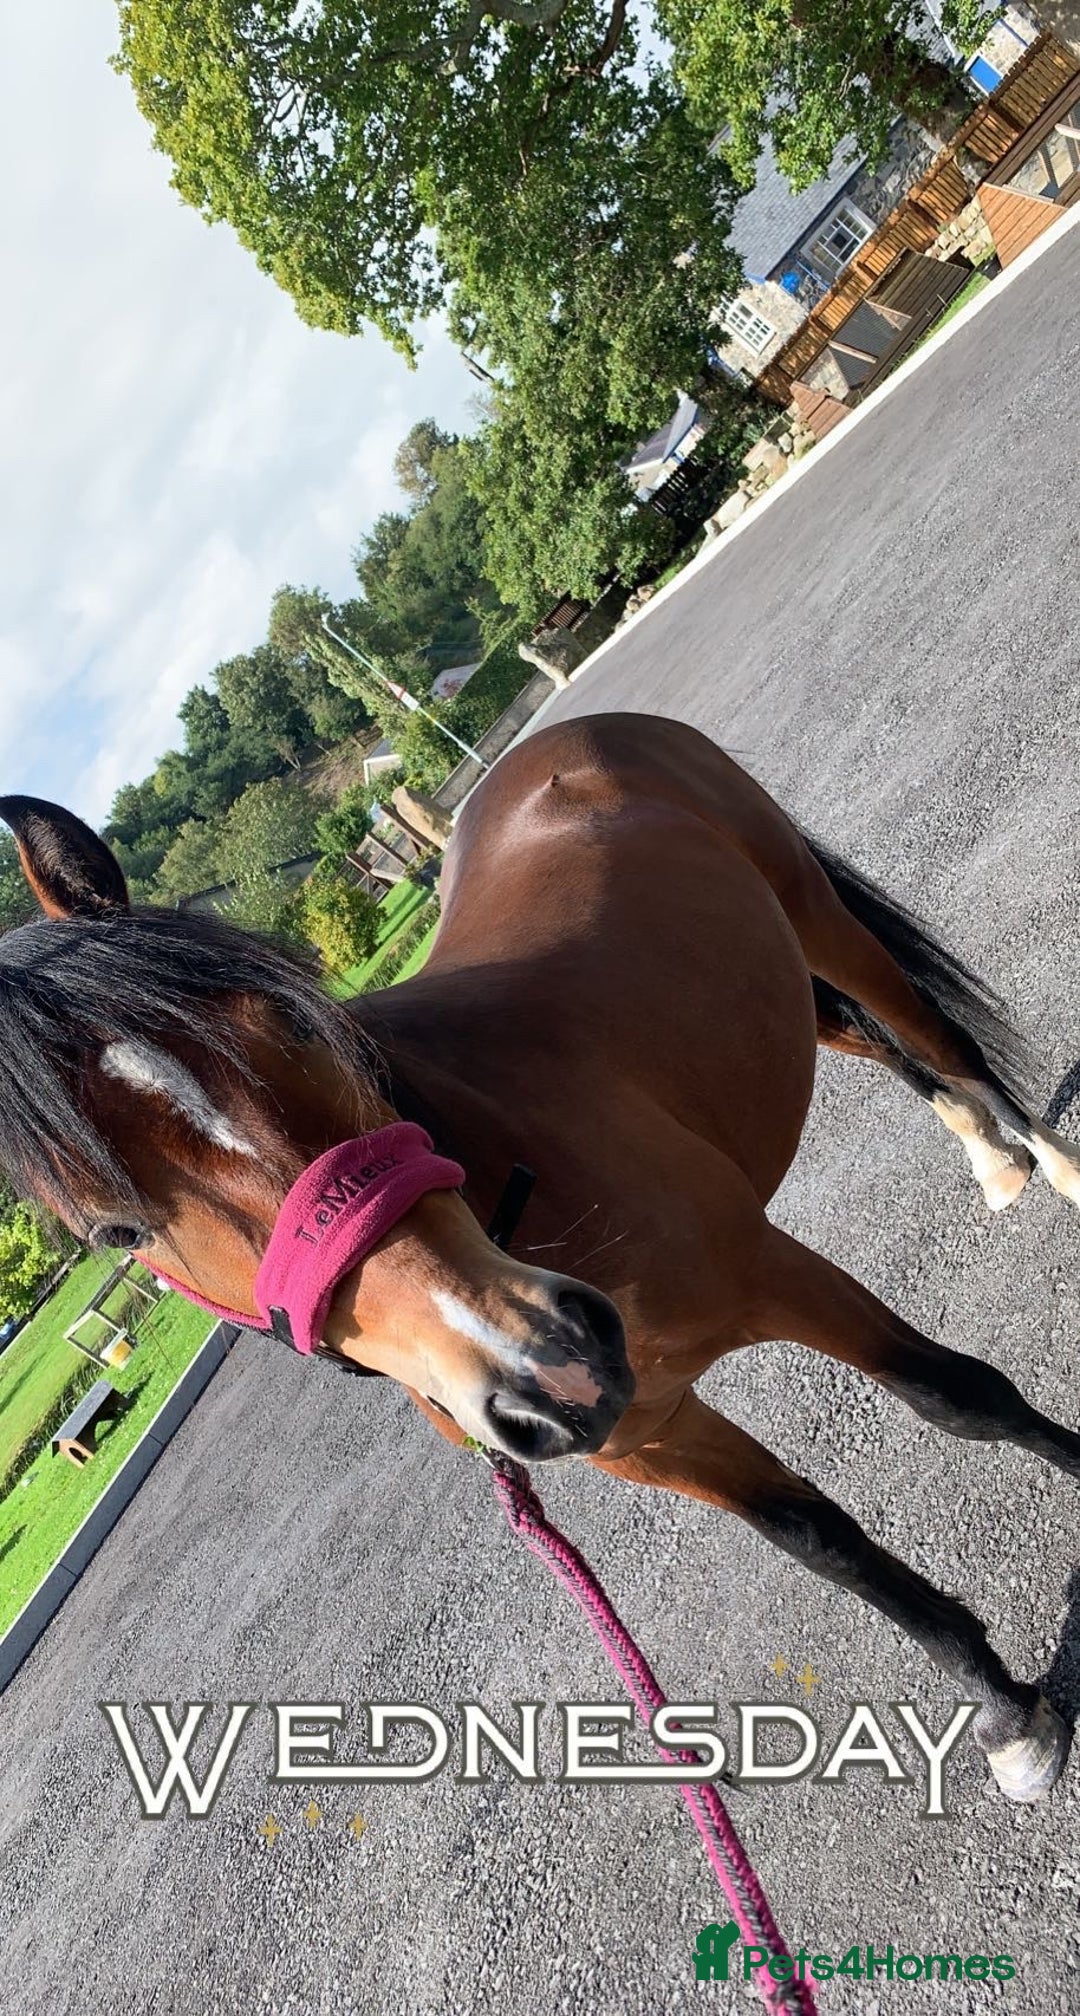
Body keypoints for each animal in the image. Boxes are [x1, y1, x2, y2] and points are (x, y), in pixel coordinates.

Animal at [3, 710, 1080, 1804]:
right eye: (114, 1232)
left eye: (296, 1020)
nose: (548, 1364)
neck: (501, 1174)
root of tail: (557, 738)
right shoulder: (649, 1433)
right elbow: (821, 1540)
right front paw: (1003, 1709)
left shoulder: (775, 1277)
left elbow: (960, 1397)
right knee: (871, 1041)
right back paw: (992, 1157)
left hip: (816, 915)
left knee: (936, 1041)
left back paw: (1053, 1162)